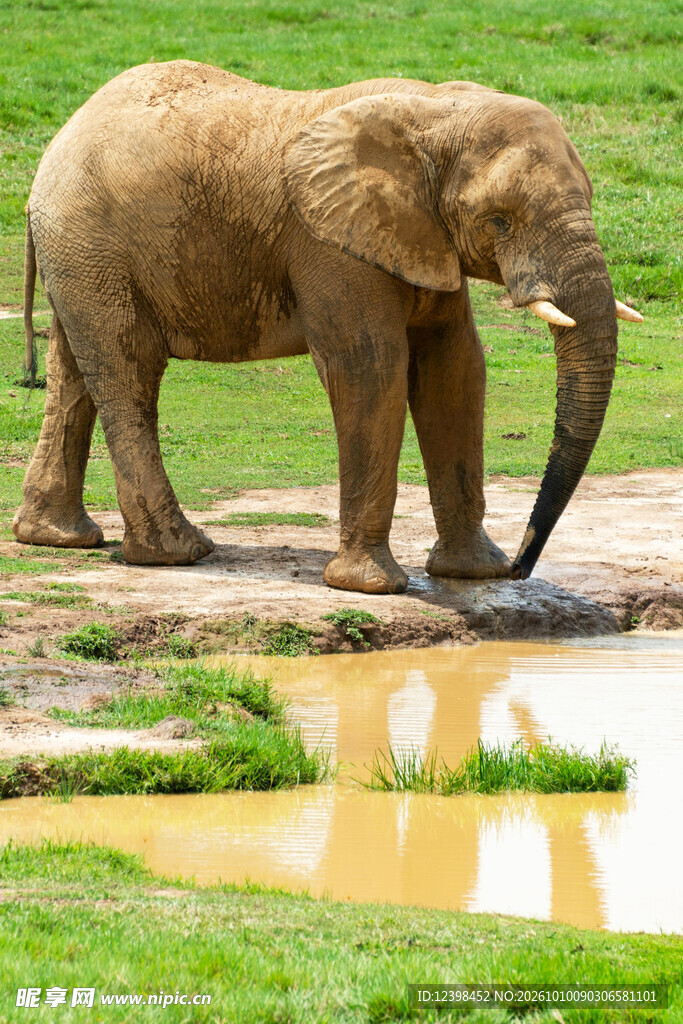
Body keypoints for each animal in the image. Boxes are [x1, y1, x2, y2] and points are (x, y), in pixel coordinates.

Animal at [15, 61, 642, 594]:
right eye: (499, 221)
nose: (520, 568)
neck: (435, 108)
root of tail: (59, 141)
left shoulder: (421, 238)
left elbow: (455, 368)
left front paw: (473, 575)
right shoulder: (331, 243)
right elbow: (371, 367)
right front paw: (371, 587)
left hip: (80, 256)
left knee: (74, 374)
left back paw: (57, 538)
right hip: (93, 244)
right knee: (129, 370)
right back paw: (179, 553)